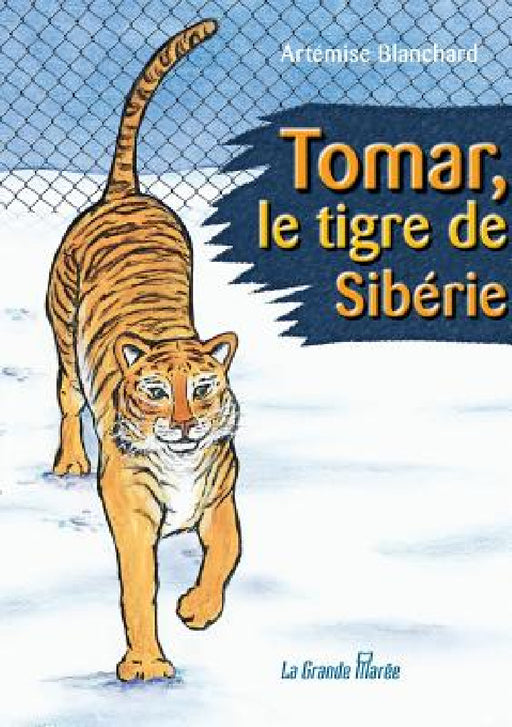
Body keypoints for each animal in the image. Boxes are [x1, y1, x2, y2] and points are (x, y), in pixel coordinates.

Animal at [46, 19, 241, 682]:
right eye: (156, 392)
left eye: (202, 389)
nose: (182, 426)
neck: (181, 463)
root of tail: (124, 192)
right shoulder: (131, 513)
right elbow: (137, 586)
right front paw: (147, 666)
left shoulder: (220, 496)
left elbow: (228, 552)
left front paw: (200, 610)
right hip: (63, 339)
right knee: (66, 401)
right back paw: (69, 464)